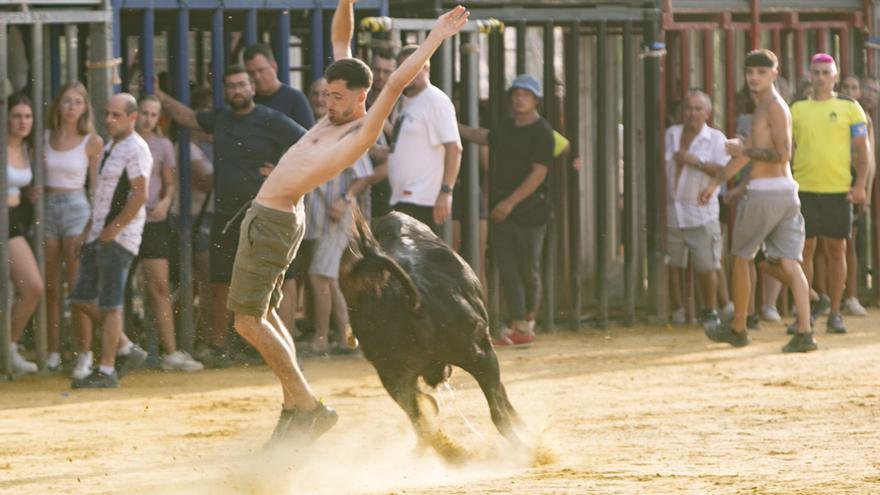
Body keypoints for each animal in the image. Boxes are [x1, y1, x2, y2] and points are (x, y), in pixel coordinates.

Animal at [340, 211, 524, 452]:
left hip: (392, 375)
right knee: (498, 411)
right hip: (479, 354)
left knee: (420, 424)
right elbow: (501, 393)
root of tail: (414, 303)